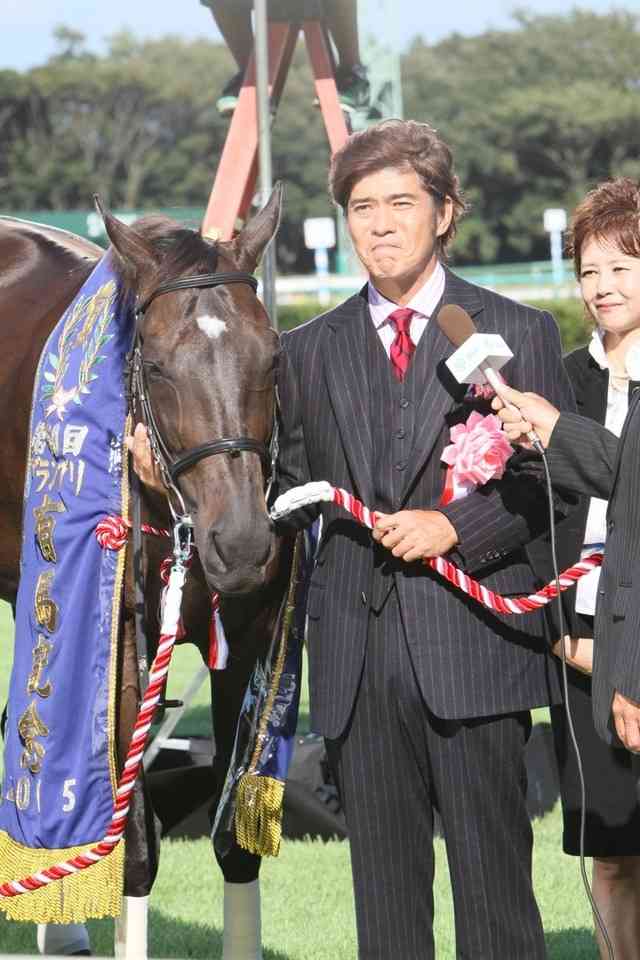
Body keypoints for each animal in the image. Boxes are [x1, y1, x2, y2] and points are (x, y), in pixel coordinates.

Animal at [0, 190, 292, 959]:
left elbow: (235, 836)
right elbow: (133, 848)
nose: (242, 542)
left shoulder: (247, 641)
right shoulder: (121, 648)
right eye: (157, 366)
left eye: (272, 357)